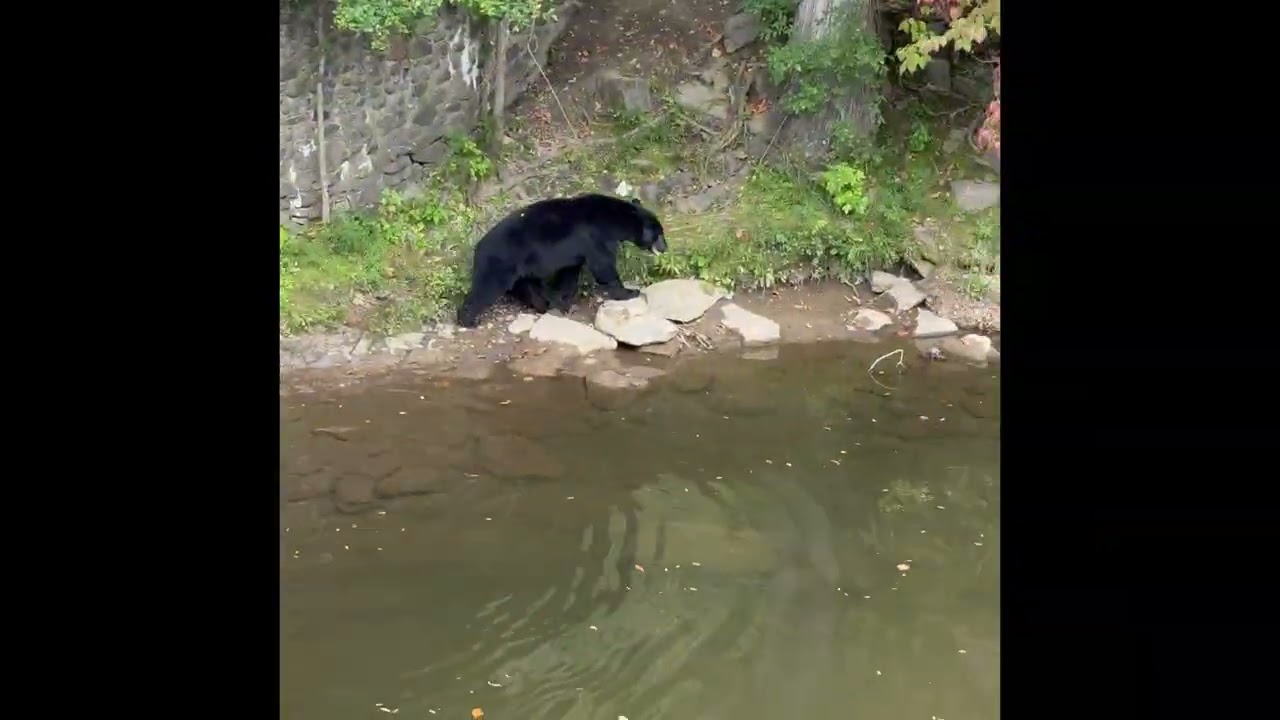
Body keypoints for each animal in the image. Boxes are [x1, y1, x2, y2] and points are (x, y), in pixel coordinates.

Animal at [456, 193, 668, 328]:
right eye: (659, 234)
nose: (665, 247)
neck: (614, 220)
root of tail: (478, 247)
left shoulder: (575, 251)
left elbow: (569, 271)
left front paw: (564, 298)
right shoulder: (596, 236)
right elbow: (603, 266)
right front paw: (630, 291)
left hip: (521, 268)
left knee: (529, 287)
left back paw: (546, 305)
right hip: (502, 263)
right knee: (487, 287)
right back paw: (468, 320)